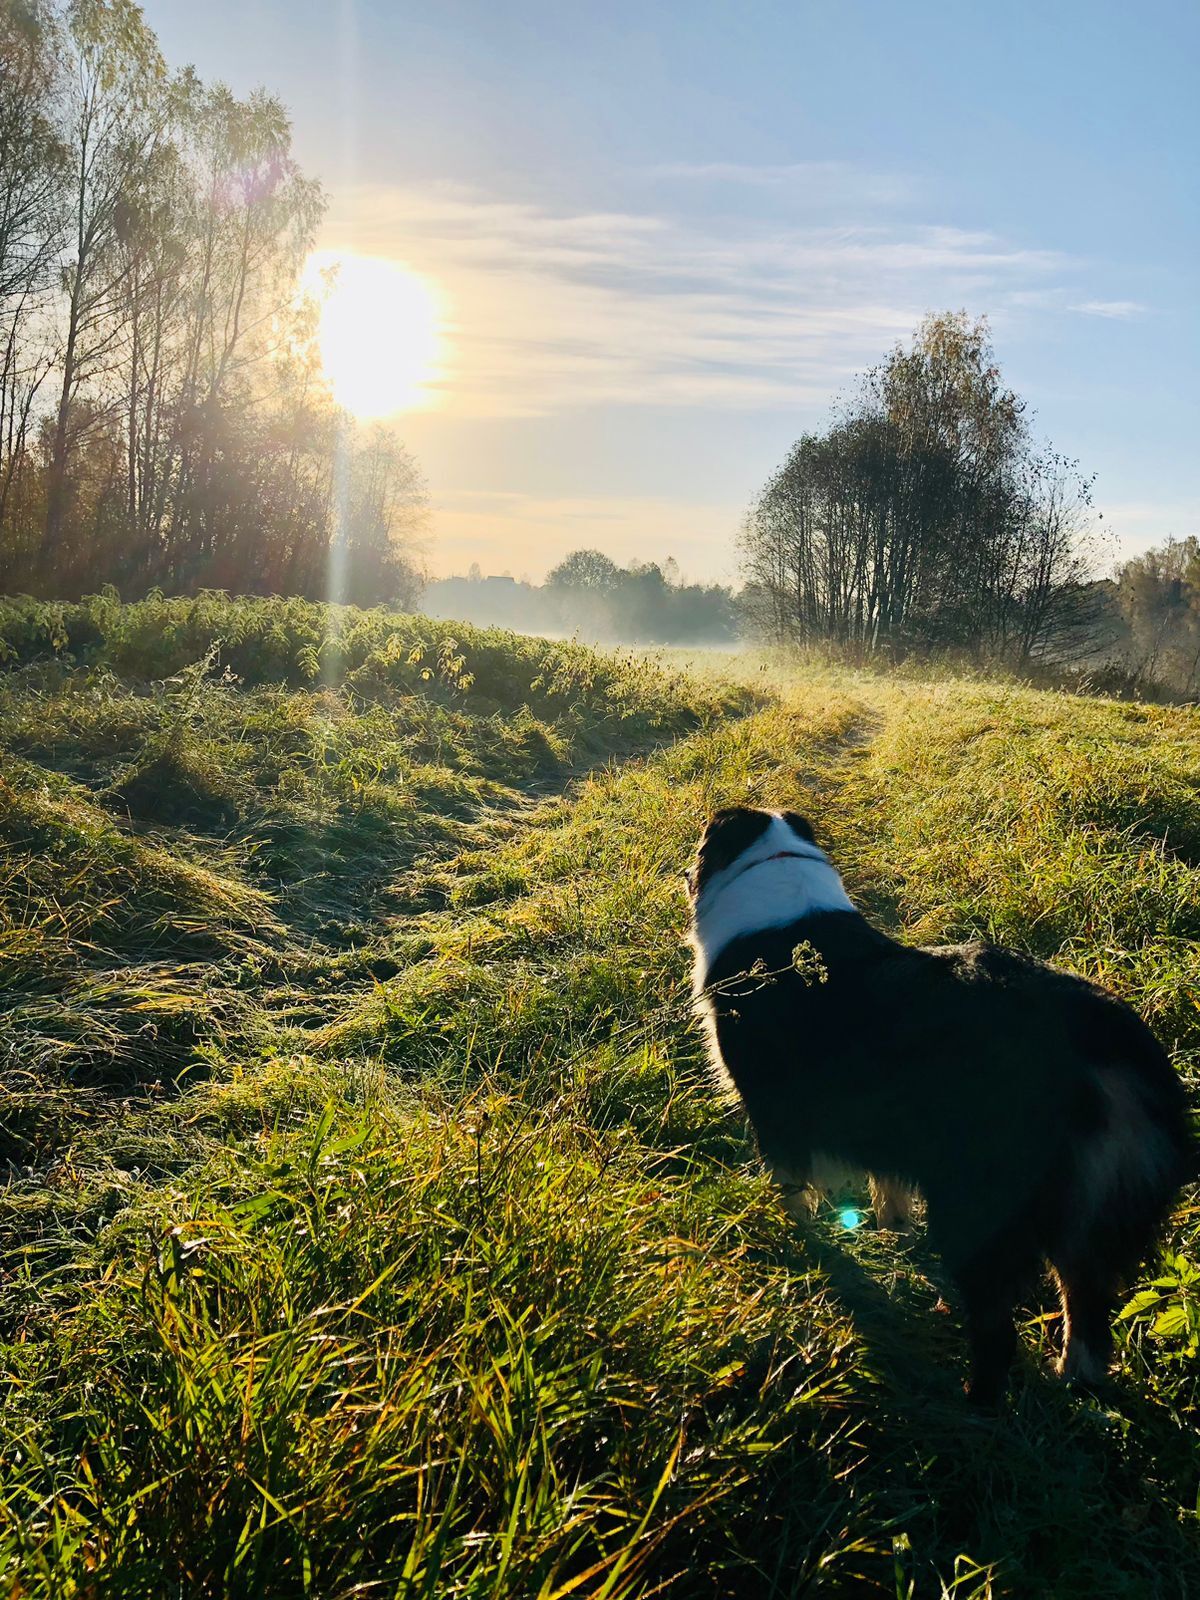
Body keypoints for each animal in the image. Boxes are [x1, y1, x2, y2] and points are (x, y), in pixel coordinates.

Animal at [691, 806, 1196, 1408]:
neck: (777, 867)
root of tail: (1102, 1031)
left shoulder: (776, 1113)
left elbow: (793, 1194)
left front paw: (798, 1244)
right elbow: (889, 1186)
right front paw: (891, 1232)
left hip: (979, 1205)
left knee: (999, 1327)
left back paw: (976, 1398)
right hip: (1091, 1211)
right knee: (1086, 1304)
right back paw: (1075, 1378)